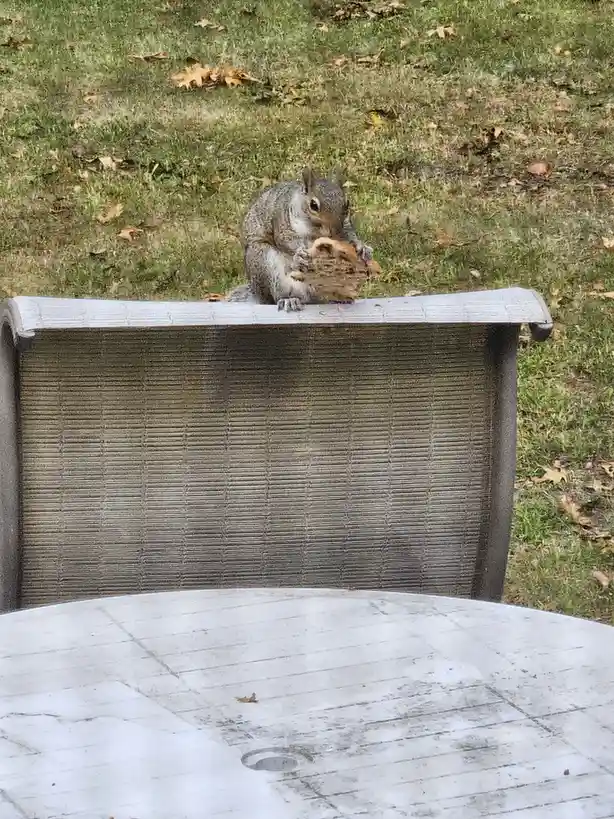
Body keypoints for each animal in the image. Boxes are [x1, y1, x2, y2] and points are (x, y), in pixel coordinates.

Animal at [226, 167, 373, 311]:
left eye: (347, 204)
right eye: (313, 205)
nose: (335, 233)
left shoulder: (346, 225)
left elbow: (350, 233)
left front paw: (361, 247)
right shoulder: (283, 224)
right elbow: (286, 241)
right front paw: (300, 255)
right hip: (261, 260)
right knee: (277, 296)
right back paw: (289, 299)